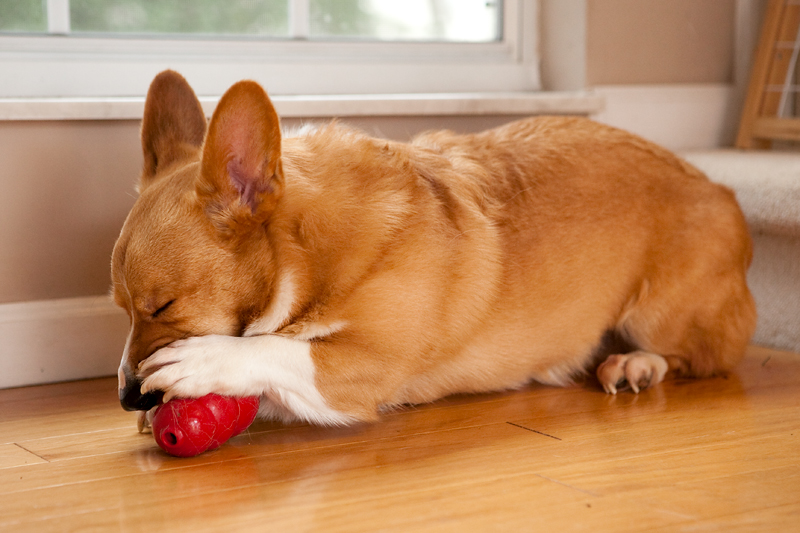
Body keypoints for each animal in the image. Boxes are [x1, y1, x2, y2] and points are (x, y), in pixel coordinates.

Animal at [112, 70, 756, 424]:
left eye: (163, 306)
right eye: (121, 309)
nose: (125, 399)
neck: (311, 255)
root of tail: (719, 188)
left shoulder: (366, 365)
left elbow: (277, 349)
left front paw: (203, 361)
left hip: (658, 314)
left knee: (701, 358)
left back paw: (635, 363)